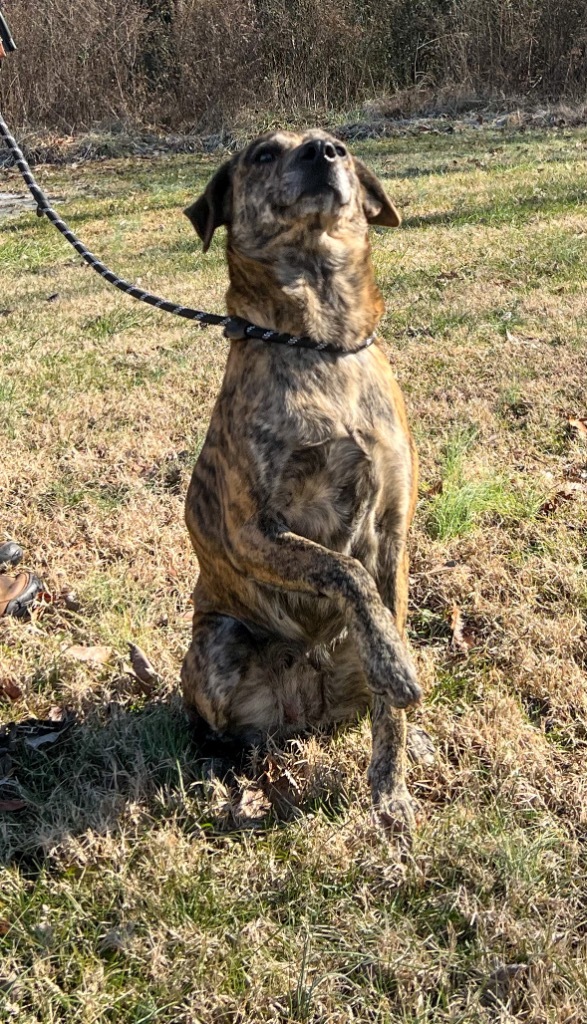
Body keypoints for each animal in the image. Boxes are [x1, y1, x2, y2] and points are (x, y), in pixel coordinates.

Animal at [182, 130, 422, 831]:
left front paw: (389, 791)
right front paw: (397, 665)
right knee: (217, 730)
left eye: (339, 144)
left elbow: (383, 640)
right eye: (263, 154)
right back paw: (225, 775)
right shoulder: (254, 532)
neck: (320, 345)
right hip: (217, 641)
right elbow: (341, 571)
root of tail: (301, 711)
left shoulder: (393, 528)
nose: (324, 151)